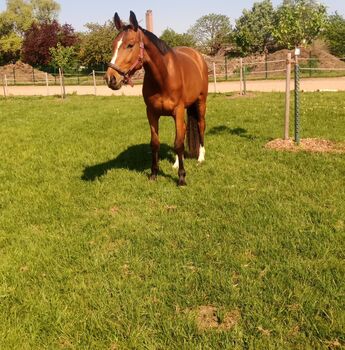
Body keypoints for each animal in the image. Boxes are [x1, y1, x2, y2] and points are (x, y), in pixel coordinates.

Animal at [105, 10, 207, 186]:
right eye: (113, 46)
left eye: (130, 45)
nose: (111, 78)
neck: (164, 76)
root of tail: (197, 56)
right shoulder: (152, 113)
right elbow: (156, 143)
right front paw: (154, 174)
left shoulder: (178, 111)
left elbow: (178, 144)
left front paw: (181, 178)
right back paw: (175, 163)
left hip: (200, 103)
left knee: (200, 126)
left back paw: (200, 158)